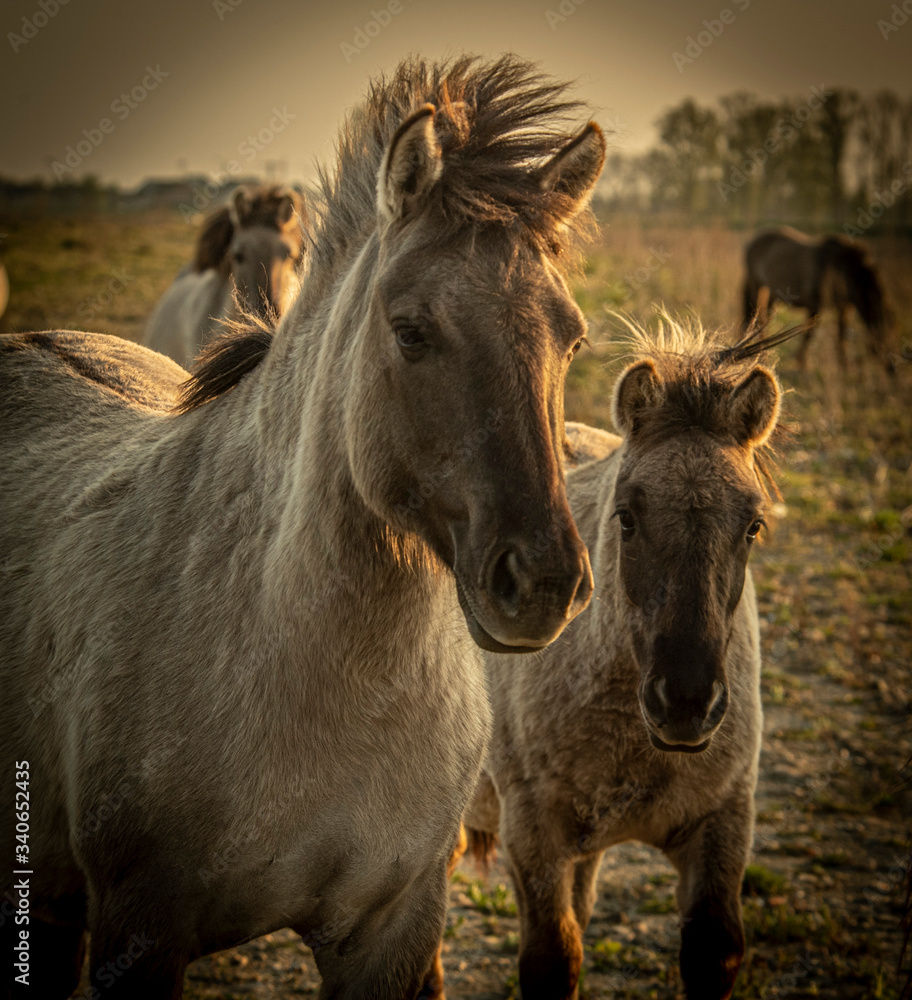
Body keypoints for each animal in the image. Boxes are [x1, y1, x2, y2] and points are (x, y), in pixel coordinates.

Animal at [459, 320, 796, 1000]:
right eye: (627, 517)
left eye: (752, 526)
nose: (686, 702)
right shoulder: (532, 837)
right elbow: (552, 959)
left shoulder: (722, 826)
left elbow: (712, 949)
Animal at [742, 226, 895, 373]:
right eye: (882, 334)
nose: (892, 368)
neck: (840, 268)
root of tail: (753, 241)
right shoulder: (816, 305)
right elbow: (809, 334)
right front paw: (802, 363)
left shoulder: (843, 307)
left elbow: (842, 334)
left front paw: (844, 366)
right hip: (757, 287)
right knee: (759, 319)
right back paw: (762, 355)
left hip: (772, 293)